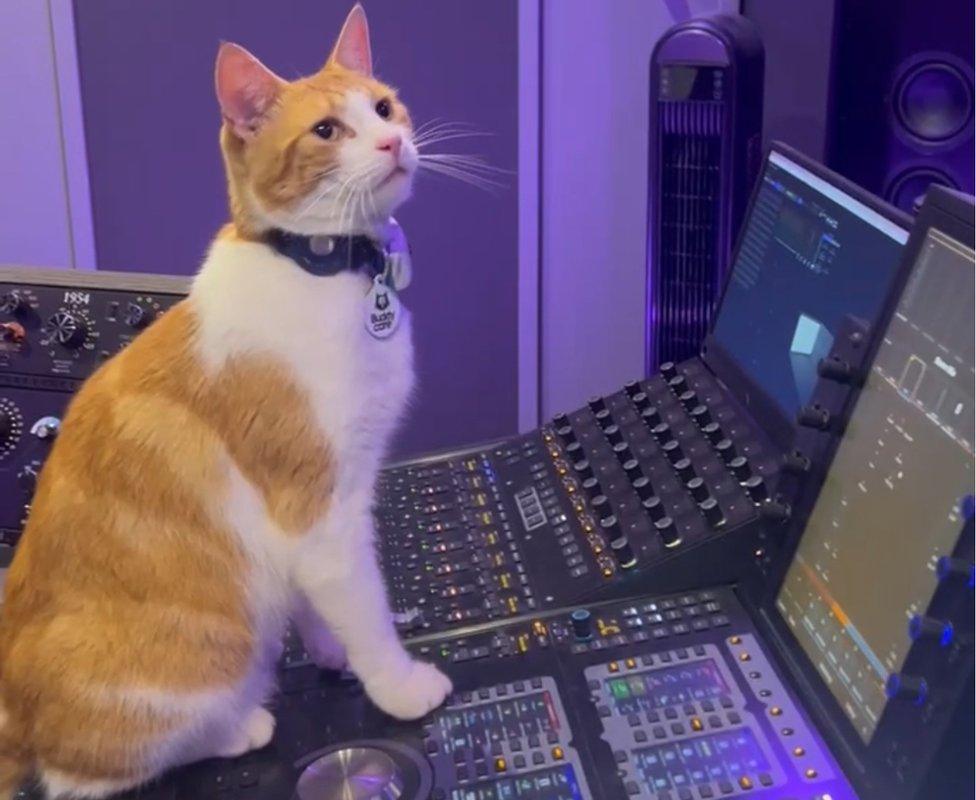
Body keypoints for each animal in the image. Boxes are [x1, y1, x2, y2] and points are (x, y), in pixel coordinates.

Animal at [0, 4, 450, 792]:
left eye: (383, 107)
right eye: (326, 130)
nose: (394, 140)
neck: (319, 270)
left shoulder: (306, 529)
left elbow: (314, 602)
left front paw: (327, 649)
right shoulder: (324, 512)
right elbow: (366, 609)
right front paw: (398, 684)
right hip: (200, 661)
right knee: (86, 774)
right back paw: (240, 726)